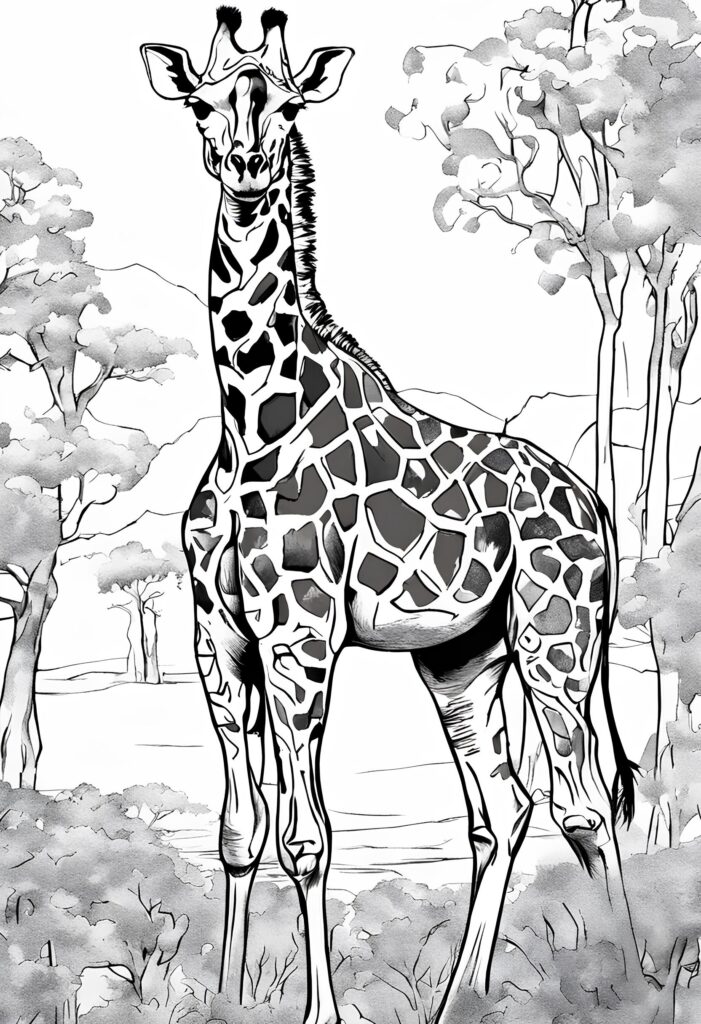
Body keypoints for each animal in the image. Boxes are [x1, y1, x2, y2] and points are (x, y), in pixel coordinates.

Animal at [141, 9, 642, 1023]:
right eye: (204, 104)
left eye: (287, 104)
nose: (246, 162)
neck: (250, 416)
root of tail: (598, 510)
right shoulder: (220, 637)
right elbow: (241, 830)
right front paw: (227, 999)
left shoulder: (298, 632)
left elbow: (307, 839)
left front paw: (317, 1012)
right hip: (461, 658)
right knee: (504, 806)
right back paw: (459, 1000)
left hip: (557, 636)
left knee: (582, 801)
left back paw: (628, 982)